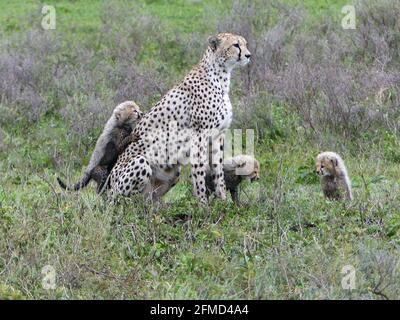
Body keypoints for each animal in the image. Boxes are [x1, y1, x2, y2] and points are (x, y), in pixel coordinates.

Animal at [108, 32, 252, 202]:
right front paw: (203, 204)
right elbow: (199, 171)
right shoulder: (199, 135)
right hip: (139, 163)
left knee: (149, 199)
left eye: (245, 44)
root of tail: (108, 191)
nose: (248, 55)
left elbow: (218, 171)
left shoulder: (217, 136)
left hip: (172, 174)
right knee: (125, 201)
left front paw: (223, 201)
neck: (220, 76)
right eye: (236, 45)